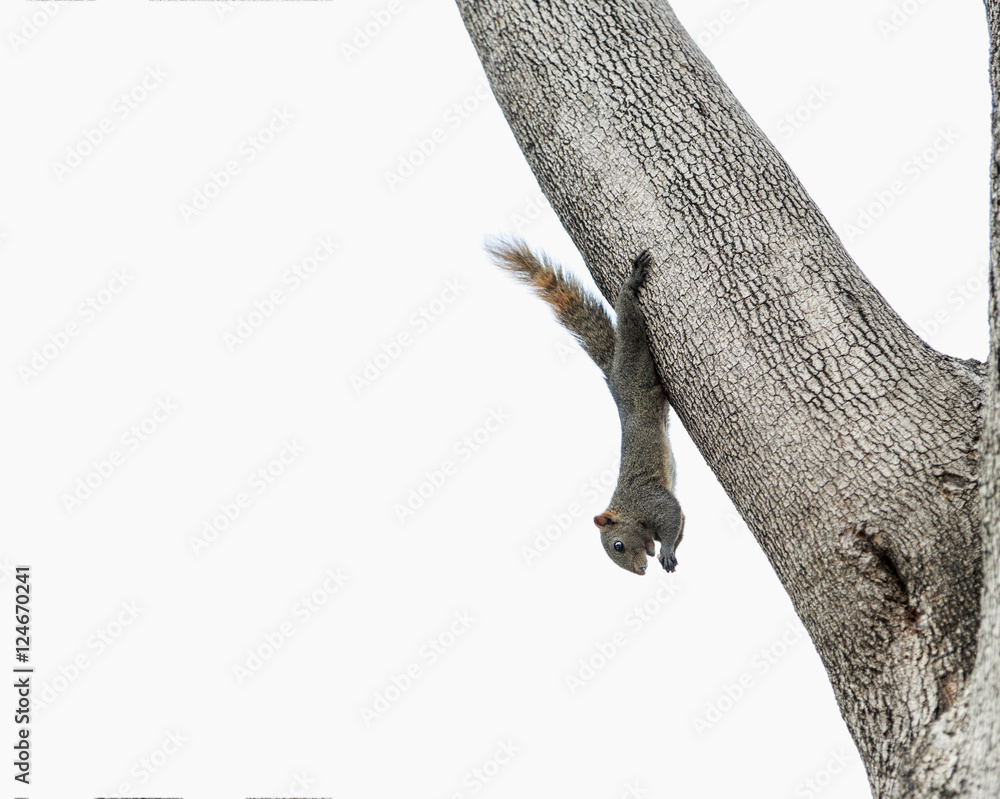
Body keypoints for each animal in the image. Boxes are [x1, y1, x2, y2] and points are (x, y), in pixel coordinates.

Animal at [488, 240, 684, 575]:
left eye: (617, 545)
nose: (640, 571)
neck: (629, 511)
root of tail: (615, 379)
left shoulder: (649, 500)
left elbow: (672, 516)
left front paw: (668, 551)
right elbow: (680, 519)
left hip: (634, 366)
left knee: (630, 323)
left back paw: (630, 285)